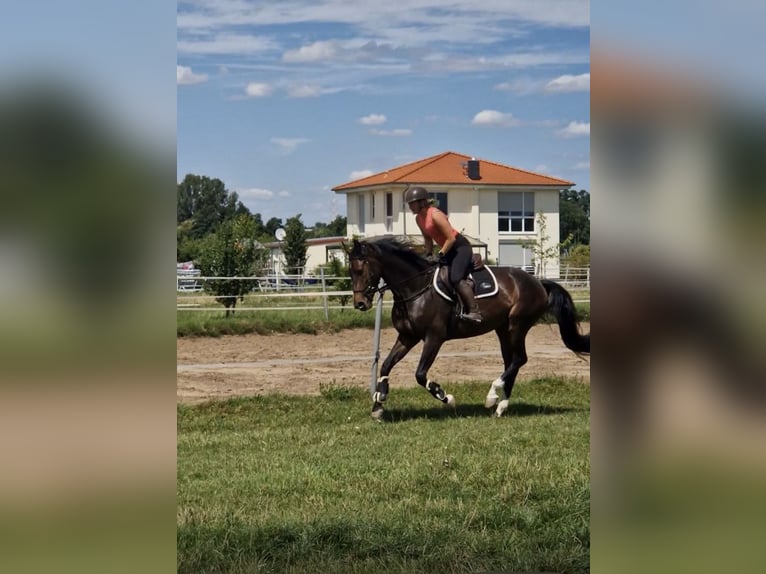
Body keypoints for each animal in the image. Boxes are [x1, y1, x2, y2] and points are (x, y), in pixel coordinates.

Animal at [344, 236, 592, 420]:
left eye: (361, 269)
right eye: (350, 271)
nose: (360, 304)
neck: (414, 288)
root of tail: (538, 282)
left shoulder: (434, 337)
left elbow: (420, 374)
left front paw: (445, 396)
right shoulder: (407, 337)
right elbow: (386, 365)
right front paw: (379, 402)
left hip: (517, 325)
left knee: (519, 359)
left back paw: (492, 394)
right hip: (503, 329)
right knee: (511, 361)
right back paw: (500, 406)